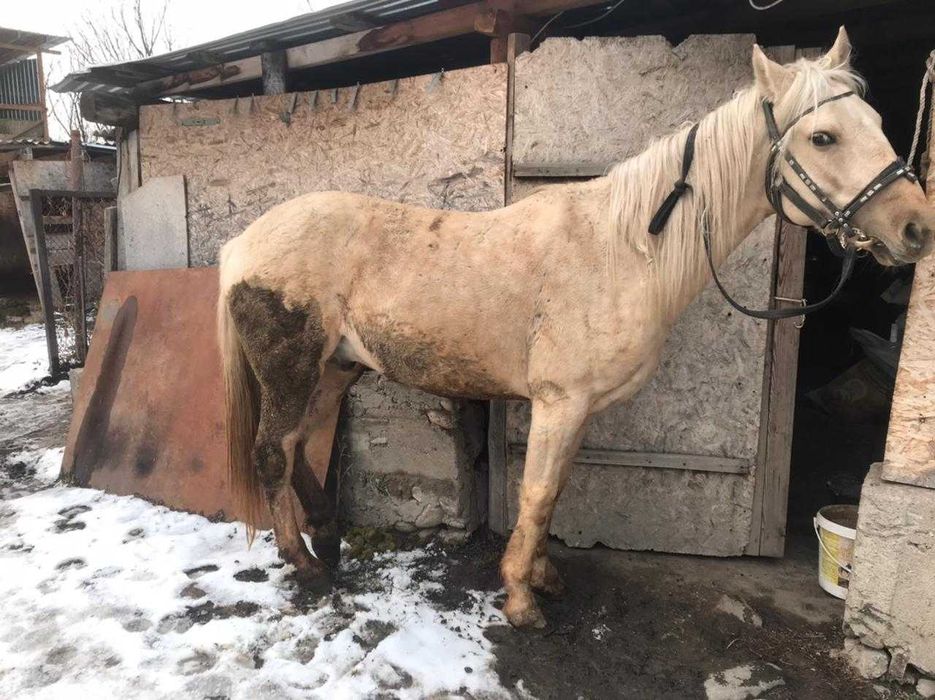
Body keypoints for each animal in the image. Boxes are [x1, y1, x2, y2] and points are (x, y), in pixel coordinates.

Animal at [217, 27, 934, 629]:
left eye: (876, 123)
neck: (625, 249)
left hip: (334, 369)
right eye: (823, 137)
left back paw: (327, 540)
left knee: (300, 446)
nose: (916, 229)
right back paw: (304, 564)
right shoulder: (559, 404)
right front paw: (520, 599)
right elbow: (536, 496)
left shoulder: (580, 409)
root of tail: (244, 243)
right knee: (273, 451)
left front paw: (542, 578)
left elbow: (556, 491)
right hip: (291, 367)